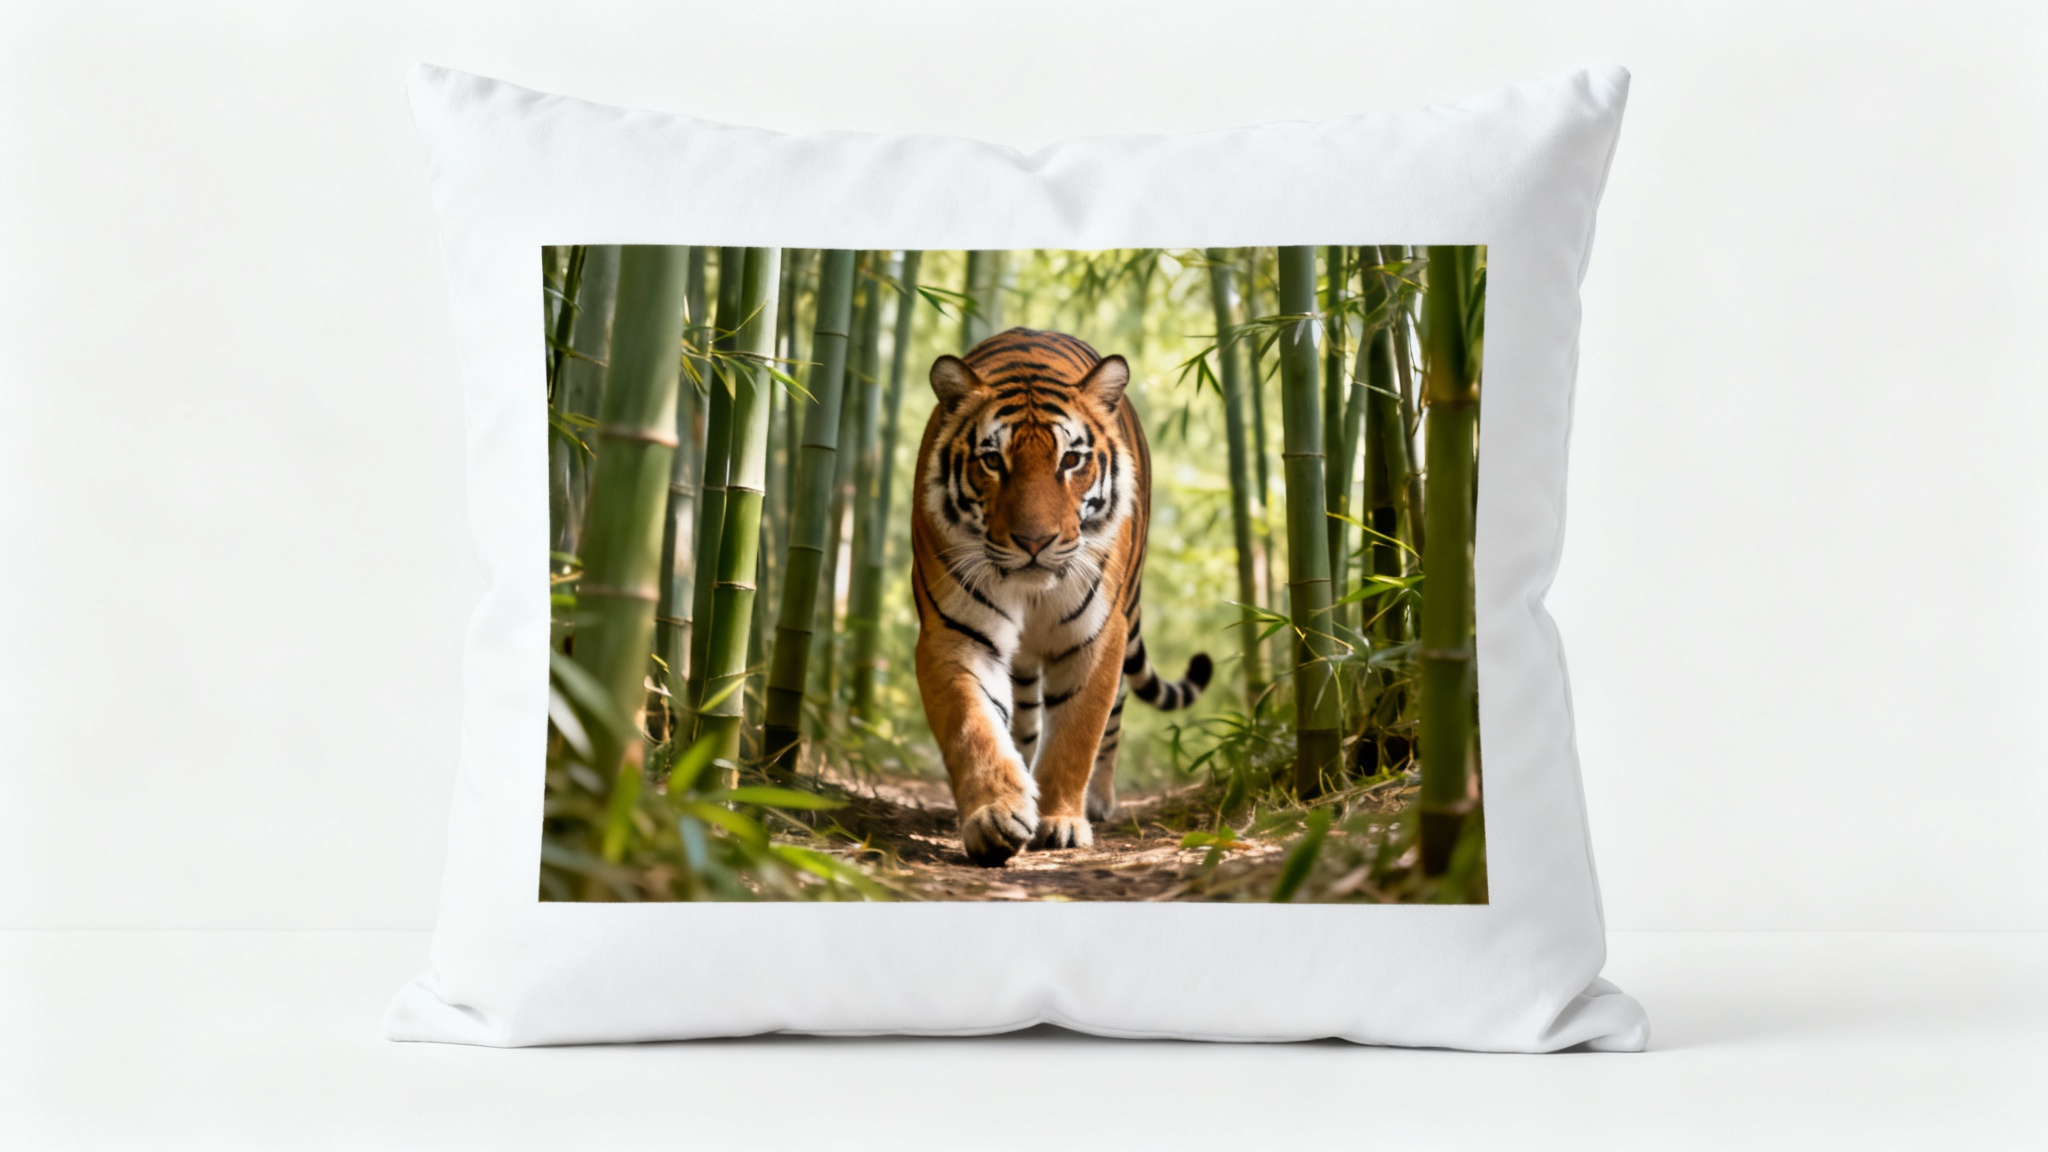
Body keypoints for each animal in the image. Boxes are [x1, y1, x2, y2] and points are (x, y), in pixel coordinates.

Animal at [911, 327, 1212, 867]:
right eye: (993, 460)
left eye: (1070, 460)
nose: (1035, 542)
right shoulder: (954, 634)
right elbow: (975, 728)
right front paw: (995, 816)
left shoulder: (1096, 636)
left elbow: (1076, 734)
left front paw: (1060, 821)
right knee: (1024, 722)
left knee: (1113, 715)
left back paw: (1097, 802)